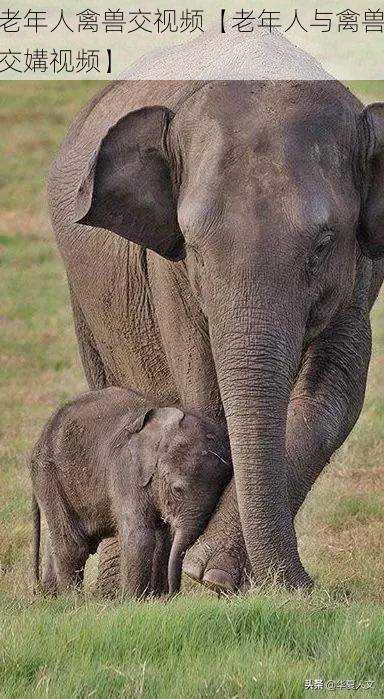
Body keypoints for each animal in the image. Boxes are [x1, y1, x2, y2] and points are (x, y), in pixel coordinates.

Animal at [30, 388, 231, 596]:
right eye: (177, 490)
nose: (173, 594)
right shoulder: (126, 471)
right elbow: (139, 536)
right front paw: (133, 600)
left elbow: (163, 538)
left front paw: (155, 598)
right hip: (48, 473)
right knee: (71, 544)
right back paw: (72, 599)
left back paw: (51, 597)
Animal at [48, 74, 384, 592]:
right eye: (194, 245)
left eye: (326, 243)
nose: (305, 584)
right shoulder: (169, 272)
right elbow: (205, 400)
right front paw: (204, 581)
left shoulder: (360, 277)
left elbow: (331, 400)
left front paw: (213, 574)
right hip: (85, 300)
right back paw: (113, 594)